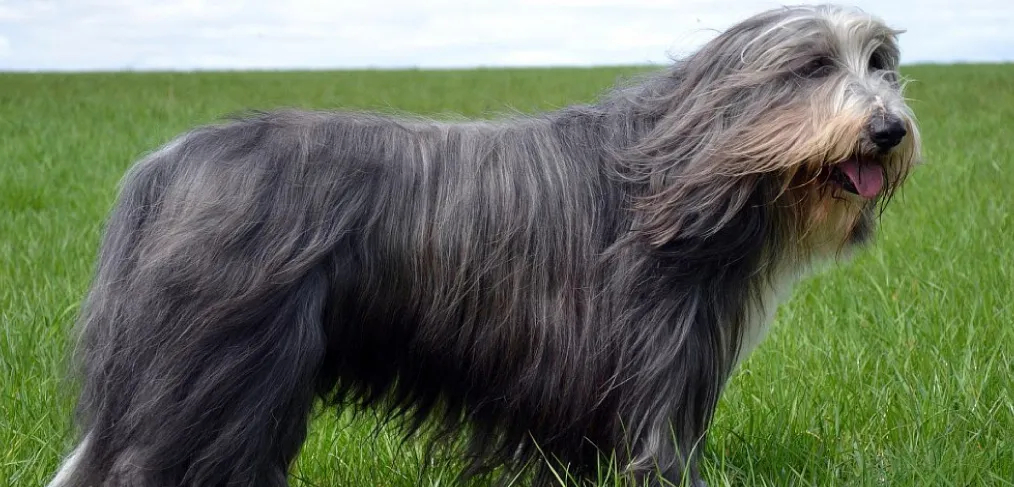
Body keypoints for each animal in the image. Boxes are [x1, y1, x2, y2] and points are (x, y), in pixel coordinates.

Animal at [47, 4, 920, 487]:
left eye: (882, 64)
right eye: (812, 66)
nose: (888, 130)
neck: (677, 164)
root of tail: (169, 163)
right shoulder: (658, 368)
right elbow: (659, 456)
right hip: (219, 374)